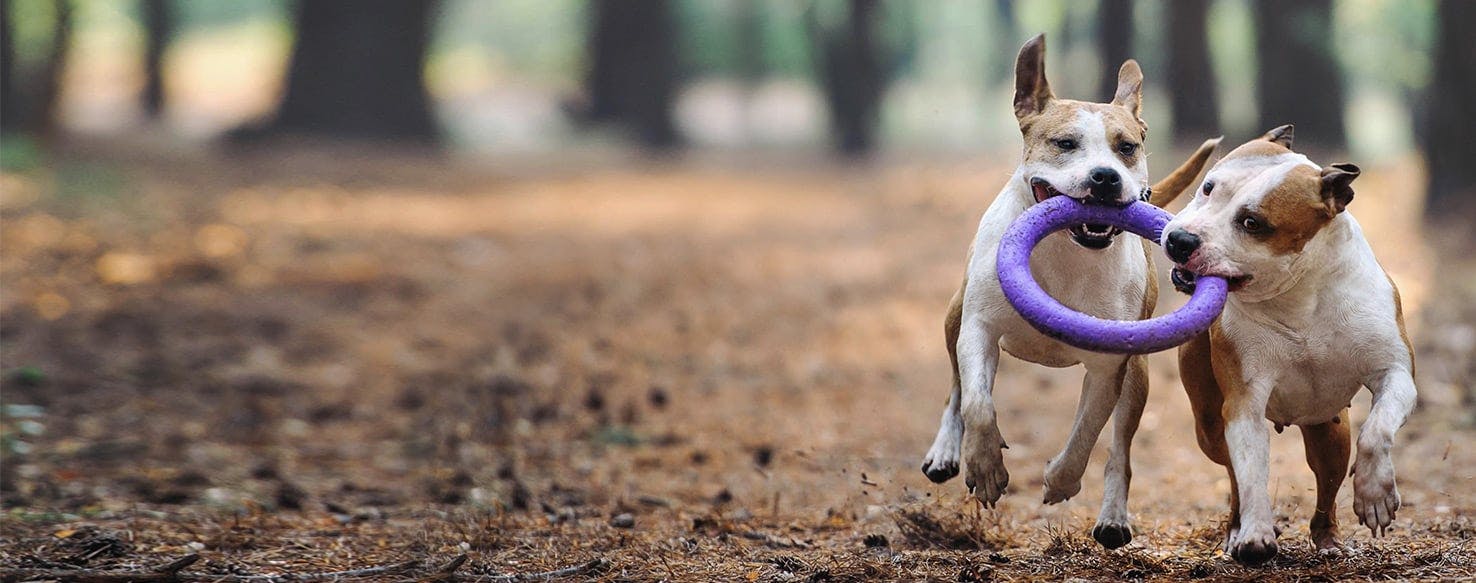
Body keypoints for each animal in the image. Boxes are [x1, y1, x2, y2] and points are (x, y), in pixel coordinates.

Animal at [921, 34, 1222, 549]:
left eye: (1127, 148)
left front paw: (1060, 479)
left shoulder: (1108, 365)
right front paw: (985, 467)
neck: (1065, 248)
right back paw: (945, 452)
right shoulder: (978, 328)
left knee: (1120, 448)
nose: (1106, 177)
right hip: (953, 315)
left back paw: (1113, 519)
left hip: (1138, 374)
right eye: (1065, 143)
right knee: (957, 389)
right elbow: (978, 403)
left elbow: (1087, 432)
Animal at [1157, 124, 1411, 566]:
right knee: (1233, 475)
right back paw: (1238, 529)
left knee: (1327, 484)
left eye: (1253, 222)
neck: (1299, 297)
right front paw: (1256, 533)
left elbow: (1377, 429)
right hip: (1210, 427)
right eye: (1208, 187)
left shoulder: (1395, 372)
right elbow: (1251, 473)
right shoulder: (1244, 402)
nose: (1181, 240)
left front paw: (1375, 494)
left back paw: (1329, 539)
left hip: (1330, 432)